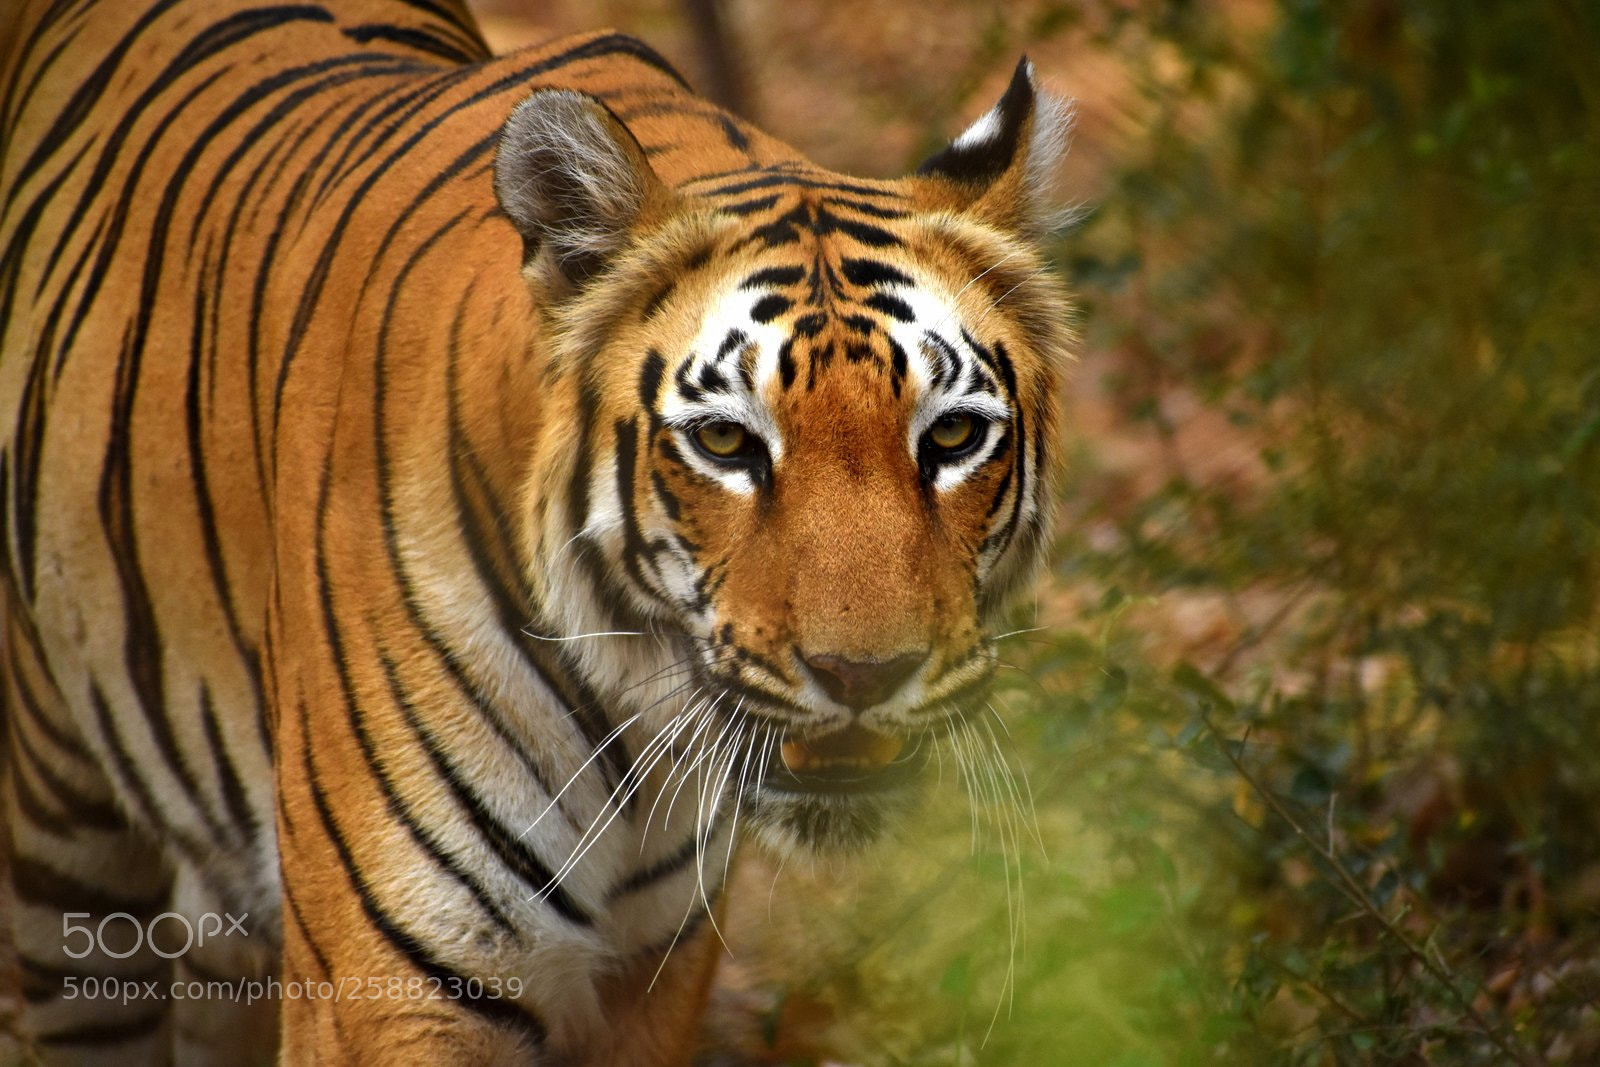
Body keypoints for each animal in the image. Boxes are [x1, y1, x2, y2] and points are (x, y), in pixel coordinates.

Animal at [0, 0, 1073, 1061]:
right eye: (726, 440)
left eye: (952, 436)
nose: (863, 676)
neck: (634, 728)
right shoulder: (392, 984)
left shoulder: (654, 973)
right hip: (61, 859)